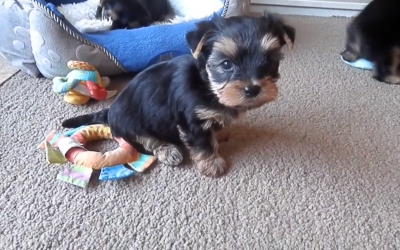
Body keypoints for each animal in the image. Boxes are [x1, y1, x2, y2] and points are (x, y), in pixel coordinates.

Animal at [61, 12, 294, 178]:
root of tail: (110, 110)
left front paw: (220, 132)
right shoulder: (193, 121)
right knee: (145, 138)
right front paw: (212, 163)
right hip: (130, 120)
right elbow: (203, 143)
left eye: (269, 61)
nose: (252, 88)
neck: (206, 85)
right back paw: (169, 150)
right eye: (226, 64)